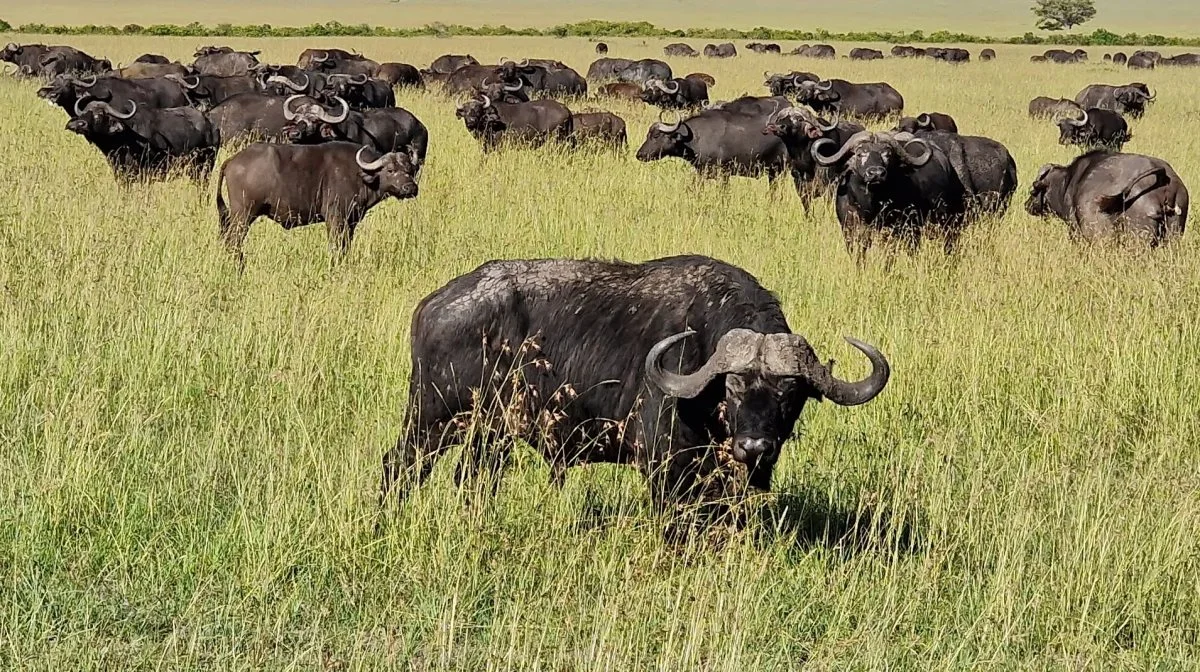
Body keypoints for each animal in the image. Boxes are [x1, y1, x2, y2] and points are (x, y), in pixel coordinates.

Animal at [384, 254, 892, 528]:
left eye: (790, 393)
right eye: (732, 386)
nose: (754, 447)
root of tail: (434, 304)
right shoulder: (663, 463)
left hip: (490, 433)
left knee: (471, 477)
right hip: (432, 420)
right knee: (400, 465)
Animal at [811, 130, 969, 260]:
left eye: (887, 154)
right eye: (860, 153)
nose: (876, 173)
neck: (869, 207)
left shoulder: (892, 233)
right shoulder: (850, 232)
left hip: (945, 223)